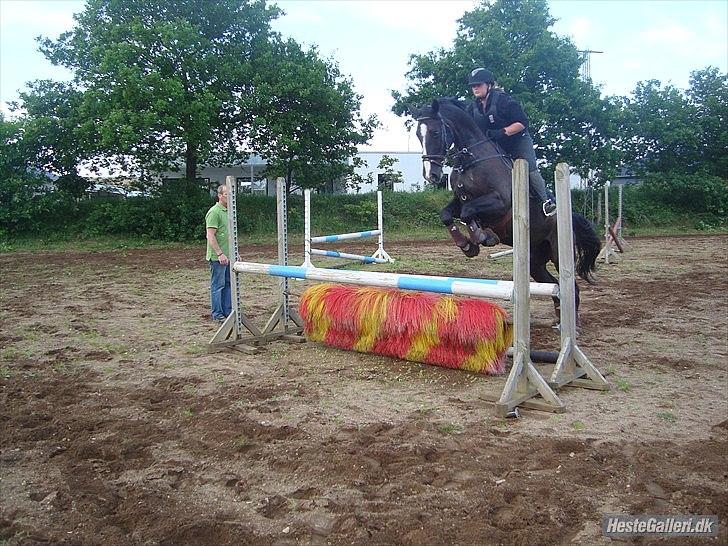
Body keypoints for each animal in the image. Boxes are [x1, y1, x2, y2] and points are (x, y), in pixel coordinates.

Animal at [412, 98, 600, 320]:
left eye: (434, 132)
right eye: (418, 135)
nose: (431, 175)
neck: (470, 160)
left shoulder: (500, 202)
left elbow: (468, 212)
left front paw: (482, 237)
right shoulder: (459, 202)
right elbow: (448, 214)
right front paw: (467, 245)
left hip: (558, 253)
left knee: (569, 284)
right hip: (534, 261)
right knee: (554, 285)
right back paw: (559, 316)